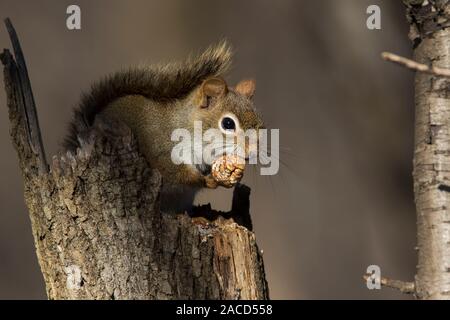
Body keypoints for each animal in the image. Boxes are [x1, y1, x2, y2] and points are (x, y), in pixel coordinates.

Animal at [63, 42, 264, 212]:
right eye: (228, 123)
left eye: (261, 124)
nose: (253, 151)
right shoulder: (161, 150)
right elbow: (178, 174)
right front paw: (207, 181)